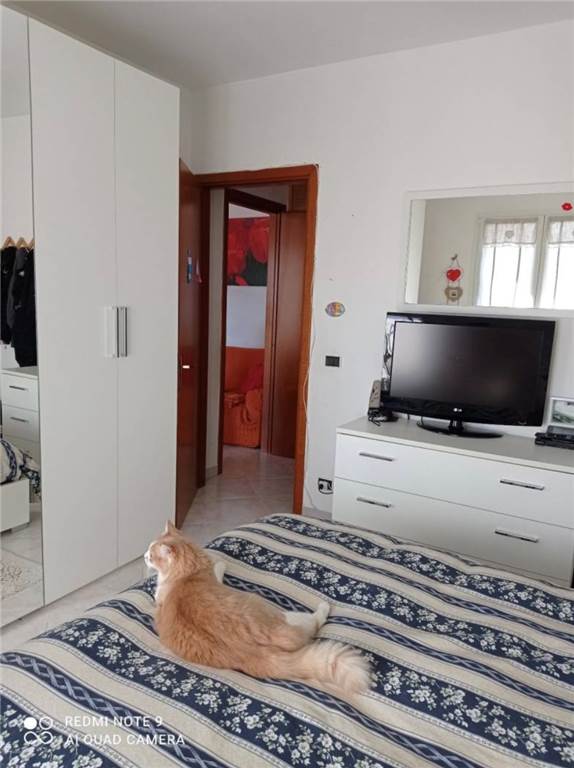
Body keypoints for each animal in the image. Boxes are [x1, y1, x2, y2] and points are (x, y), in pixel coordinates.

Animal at [145, 521, 372, 696]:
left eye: (151, 555)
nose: (144, 556)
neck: (187, 574)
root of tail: (257, 654)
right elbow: (219, 567)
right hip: (287, 616)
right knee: (317, 621)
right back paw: (325, 605)